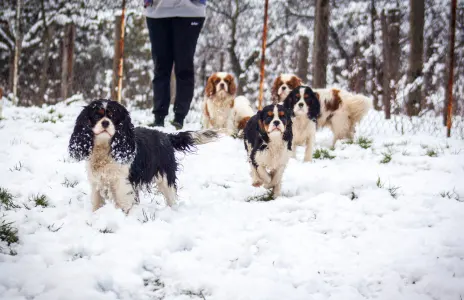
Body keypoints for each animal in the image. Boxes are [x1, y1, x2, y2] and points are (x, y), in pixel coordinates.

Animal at [69, 99, 219, 212]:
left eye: (113, 116)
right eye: (96, 116)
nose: (105, 122)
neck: (105, 148)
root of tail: (166, 136)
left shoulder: (122, 184)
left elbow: (124, 204)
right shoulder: (96, 183)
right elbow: (96, 204)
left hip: (166, 178)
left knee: (171, 198)